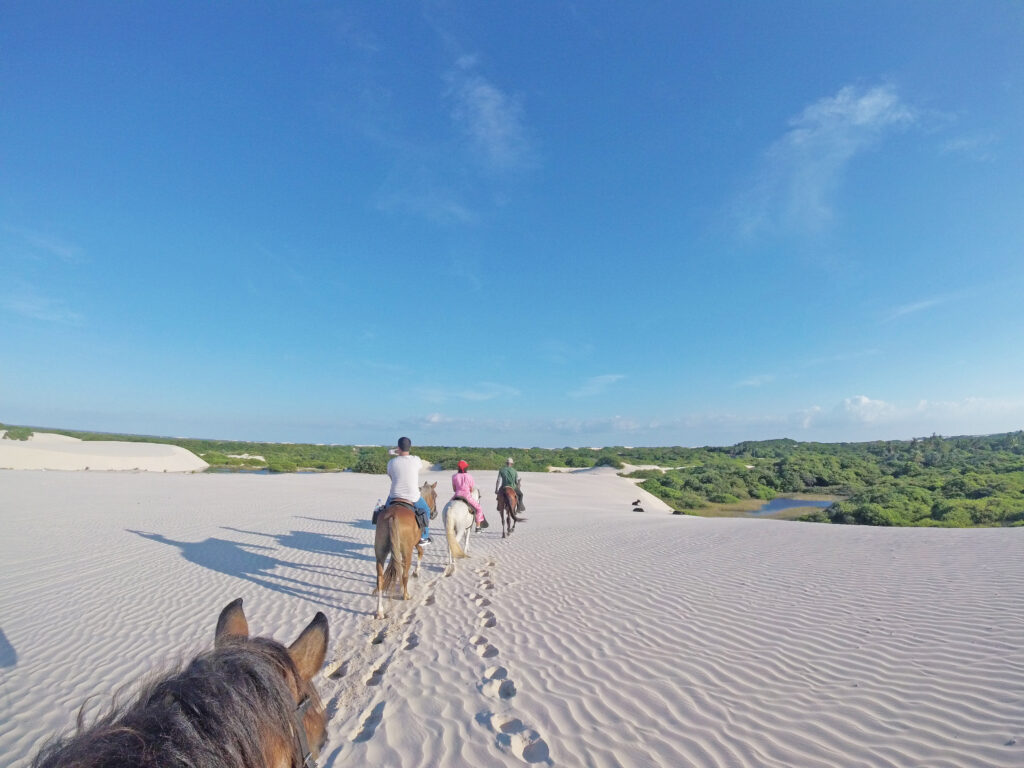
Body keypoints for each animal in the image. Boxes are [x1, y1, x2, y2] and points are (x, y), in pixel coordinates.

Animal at [376, 481, 440, 618]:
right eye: (435, 495)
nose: (435, 513)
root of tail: (393, 516)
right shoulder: (415, 543)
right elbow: (421, 552)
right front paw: (416, 572)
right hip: (407, 551)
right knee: (404, 575)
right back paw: (406, 595)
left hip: (380, 552)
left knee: (380, 579)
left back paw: (380, 611)